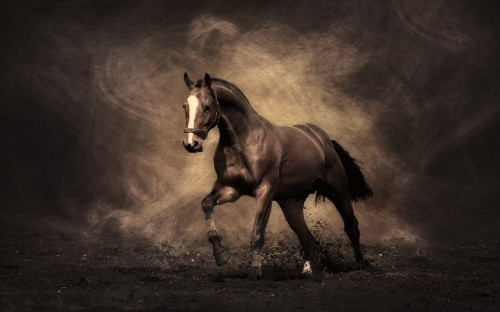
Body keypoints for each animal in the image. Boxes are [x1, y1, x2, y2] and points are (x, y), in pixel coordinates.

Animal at [182, 73, 374, 280]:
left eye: (207, 106)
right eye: (185, 106)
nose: (191, 144)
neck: (244, 142)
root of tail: (323, 140)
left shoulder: (264, 192)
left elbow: (258, 232)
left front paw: (254, 272)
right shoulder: (231, 189)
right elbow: (207, 204)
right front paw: (221, 256)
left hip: (338, 191)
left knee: (351, 226)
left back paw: (360, 265)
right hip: (291, 204)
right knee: (307, 237)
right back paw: (308, 271)